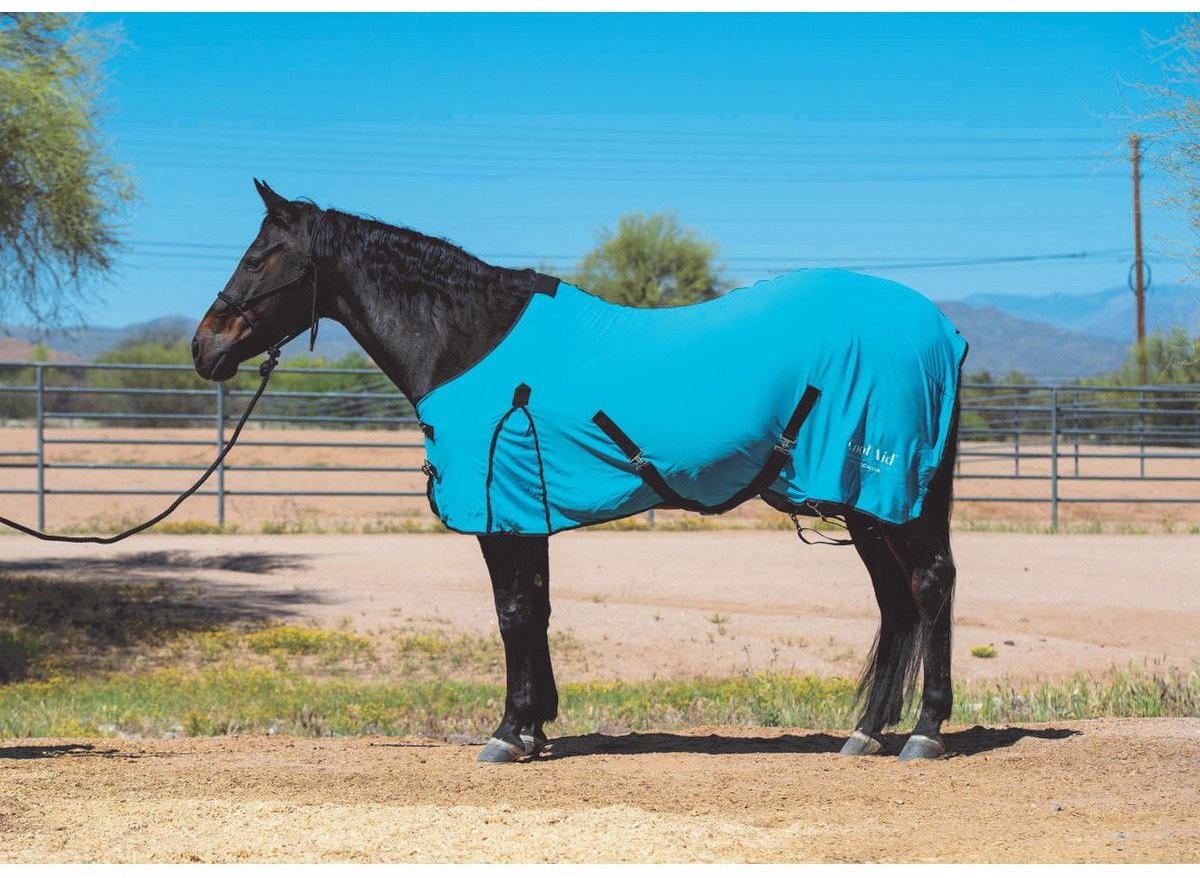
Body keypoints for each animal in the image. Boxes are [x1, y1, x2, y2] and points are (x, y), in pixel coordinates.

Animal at [192, 180, 963, 763]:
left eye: (260, 257)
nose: (204, 348)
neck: (472, 343)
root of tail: (942, 332)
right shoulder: (523, 509)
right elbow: (535, 610)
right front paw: (534, 727)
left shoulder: (499, 511)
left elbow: (512, 612)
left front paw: (509, 734)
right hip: (866, 504)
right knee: (897, 602)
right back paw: (866, 733)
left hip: (892, 496)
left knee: (929, 585)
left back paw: (924, 734)